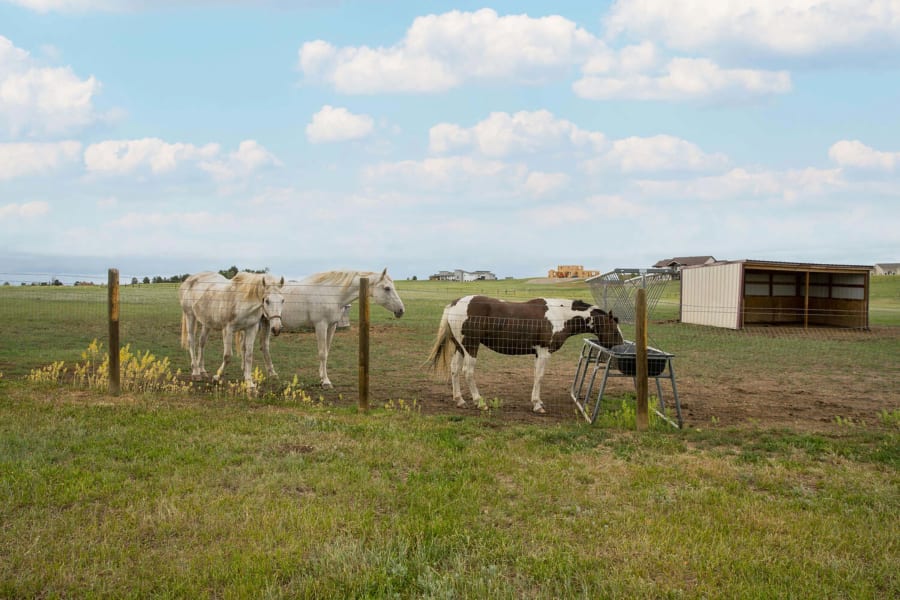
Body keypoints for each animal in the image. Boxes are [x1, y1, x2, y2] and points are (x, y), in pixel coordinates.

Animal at [256, 268, 404, 390]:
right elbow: (322, 353)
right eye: (387, 288)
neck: (331, 294)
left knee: (265, 346)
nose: (401, 311)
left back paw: (273, 374)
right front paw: (326, 382)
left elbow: (326, 352)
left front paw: (322, 376)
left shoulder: (332, 326)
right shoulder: (321, 325)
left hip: (267, 323)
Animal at [426, 294, 624, 412]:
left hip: (461, 347)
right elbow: (540, 377)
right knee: (468, 372)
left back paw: (459, 400)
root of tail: (454, 304)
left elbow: (536, 375)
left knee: (454, 370)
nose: (621, 347)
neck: (559, 316)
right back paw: (479, 402)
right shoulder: (544, 352)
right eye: (615, 331)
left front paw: (537, 402)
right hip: (471, 346)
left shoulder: (537, 353)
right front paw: (537, 405)